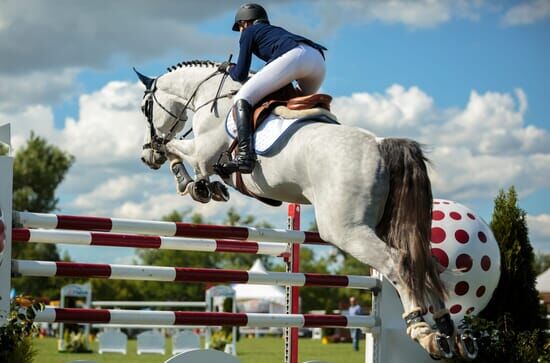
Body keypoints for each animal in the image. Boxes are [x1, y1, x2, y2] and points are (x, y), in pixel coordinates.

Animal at [135, 60, 478, 362]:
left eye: (145, 108)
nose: (145, 157)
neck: (211, 96)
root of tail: (381, 145)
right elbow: (187, 160)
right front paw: (206, 187)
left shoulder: (202, 152)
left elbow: (176, 151)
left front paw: (191, 184)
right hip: (383, 226)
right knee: (424, 264)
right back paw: (449, 335)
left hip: (346, 230)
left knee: (398, 262)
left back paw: (423, 331)